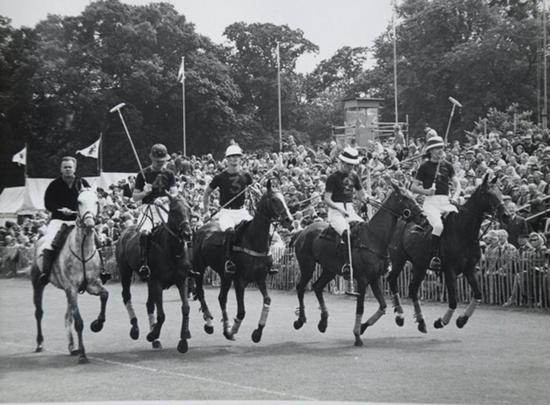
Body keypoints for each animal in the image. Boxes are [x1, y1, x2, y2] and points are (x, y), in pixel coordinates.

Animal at [31, 188, 108, 362]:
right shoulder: (71, 288)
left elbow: (105, 295)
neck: (83, 249)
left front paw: (98, 324)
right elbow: (79, 322)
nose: (89, 224)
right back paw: (40, 343)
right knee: (39, 313)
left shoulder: (92, 284)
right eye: (79, 201)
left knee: (68, 316)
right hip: (38, 284)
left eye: (97, 201)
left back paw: (72, 347)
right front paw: (83, 354)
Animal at [115, 194, 194, 352]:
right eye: (174, 210)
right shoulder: (157, 282)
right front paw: (152, 334)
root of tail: (125, 232)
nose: (187, 234)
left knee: (149, 304)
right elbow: (162, 314)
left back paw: (155, 340)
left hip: (148, 281)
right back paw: (135, 329)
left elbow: (185, 308)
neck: (172, 251)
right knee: (126, 296)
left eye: (189, 209)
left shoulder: (182, 280)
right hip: (125, 271)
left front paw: (183, 340)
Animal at [194, 180, 296, 340]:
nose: (289, 220)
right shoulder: (240, 281)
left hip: (224, 275)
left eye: (284, 198)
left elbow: (267, 300)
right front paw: (234, 330)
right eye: (274, 200)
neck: (254, 241)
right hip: (199, 267)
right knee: (200, 292)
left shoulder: (260, 278)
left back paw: (225, 327)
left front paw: (257, 331)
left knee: (221, 298)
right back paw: (210, 323)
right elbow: (241, 311)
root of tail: (201, 228)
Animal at [294, 181, 426, 346]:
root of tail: (303, 232)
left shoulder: (375, 279)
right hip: (307, 266)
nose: (423, 216)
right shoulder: (363, 280)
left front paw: (362, 328)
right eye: (405, 197)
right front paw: (357, 336)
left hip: (329, 269)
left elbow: (383, 306)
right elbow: (361, 308)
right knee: (300, 288)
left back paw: (323, 323)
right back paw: (300, 320)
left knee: (317, 286)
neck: (374, 238)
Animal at [388, 174, 512, 332]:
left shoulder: (469, 269)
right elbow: (453, 300)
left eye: (500, 192)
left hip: (420, 264)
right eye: (488, 194)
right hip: (399, 259)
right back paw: (400, 316)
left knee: (413, 289)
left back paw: (421, 322)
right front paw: (441, 322)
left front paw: (462, 320)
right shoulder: (449, 270)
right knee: (392, 280)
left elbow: (478, 294)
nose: (506, 216)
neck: (464, 232)